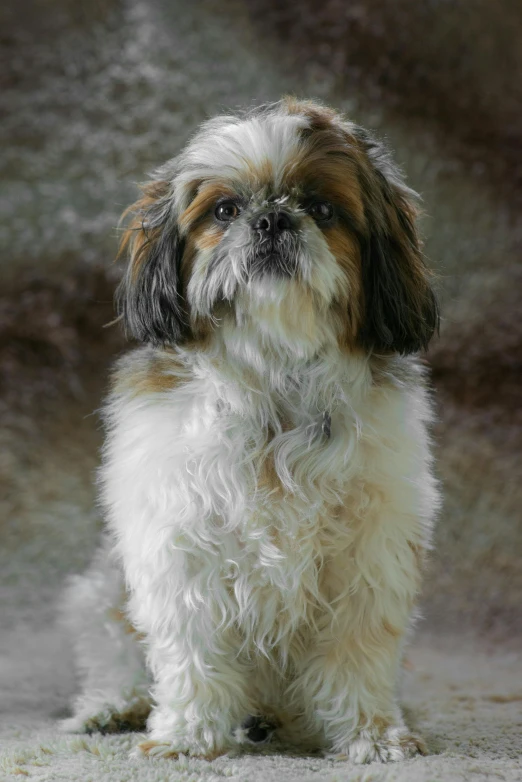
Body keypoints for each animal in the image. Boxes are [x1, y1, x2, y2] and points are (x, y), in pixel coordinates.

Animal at [63, 98, 440, 764]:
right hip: (101, 593)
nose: (272, 220)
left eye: (322, 210)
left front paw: (369, 733)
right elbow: (190, 649)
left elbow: (357, 649)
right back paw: (114, 706)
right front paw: (187, 736)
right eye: (225, 211)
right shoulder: (180, 544)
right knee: (117, 656)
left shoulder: (370, 550)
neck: (276, 376)